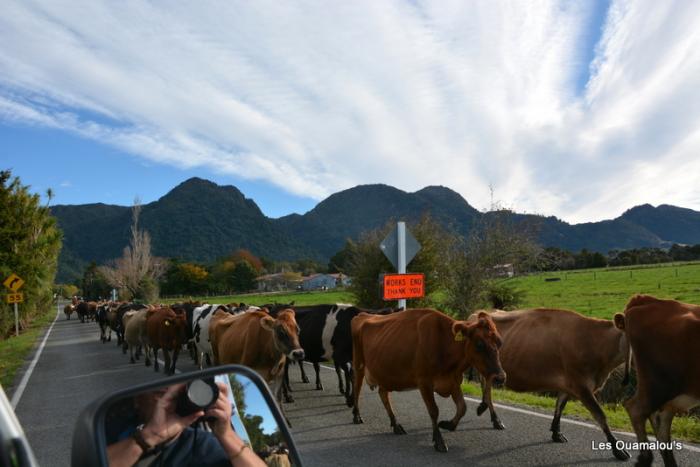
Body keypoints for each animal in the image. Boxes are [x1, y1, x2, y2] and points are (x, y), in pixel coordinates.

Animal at [352, 308, 506, 452]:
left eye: (499, 343)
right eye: (479, 344)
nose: (500, 377)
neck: (444, 343)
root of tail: (363, 315)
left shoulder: (453, 381)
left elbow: (462, 407)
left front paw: (449, 425)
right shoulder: (424, 382)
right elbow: (434, 410)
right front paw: (439, 441)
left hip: (385, 373)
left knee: (383, 394)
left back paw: (395, 424)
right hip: (358, 364)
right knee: (357, 388)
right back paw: (357, 416)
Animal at [476, 308, 628, 462]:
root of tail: (479, 313)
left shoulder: (568, 384)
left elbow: (559, 407)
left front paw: (556, 433)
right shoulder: (581, 385)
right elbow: (600, 415)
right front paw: (618, 449)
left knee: (486, 389)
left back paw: (485, 409)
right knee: (487, 391)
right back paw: (496, 420)